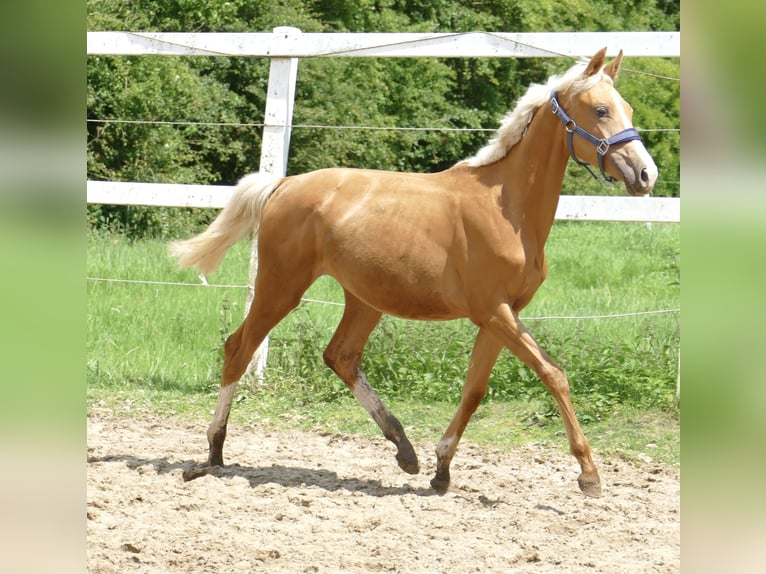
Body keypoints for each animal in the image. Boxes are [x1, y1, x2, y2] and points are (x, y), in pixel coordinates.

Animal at [172, 48, 660, 500]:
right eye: (601, 110)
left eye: (628, 109)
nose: (645, 174)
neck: (506, 206)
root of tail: (282, 184)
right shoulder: (494, 311)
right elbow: (553, 374)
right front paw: (589, 475)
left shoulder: (500, 316)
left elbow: (474, 390)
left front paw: (441, 470)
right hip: (281, 286)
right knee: (239, 349)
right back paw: (213, 454)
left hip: (364, 298)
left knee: (340, 356)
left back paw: (405, 450)